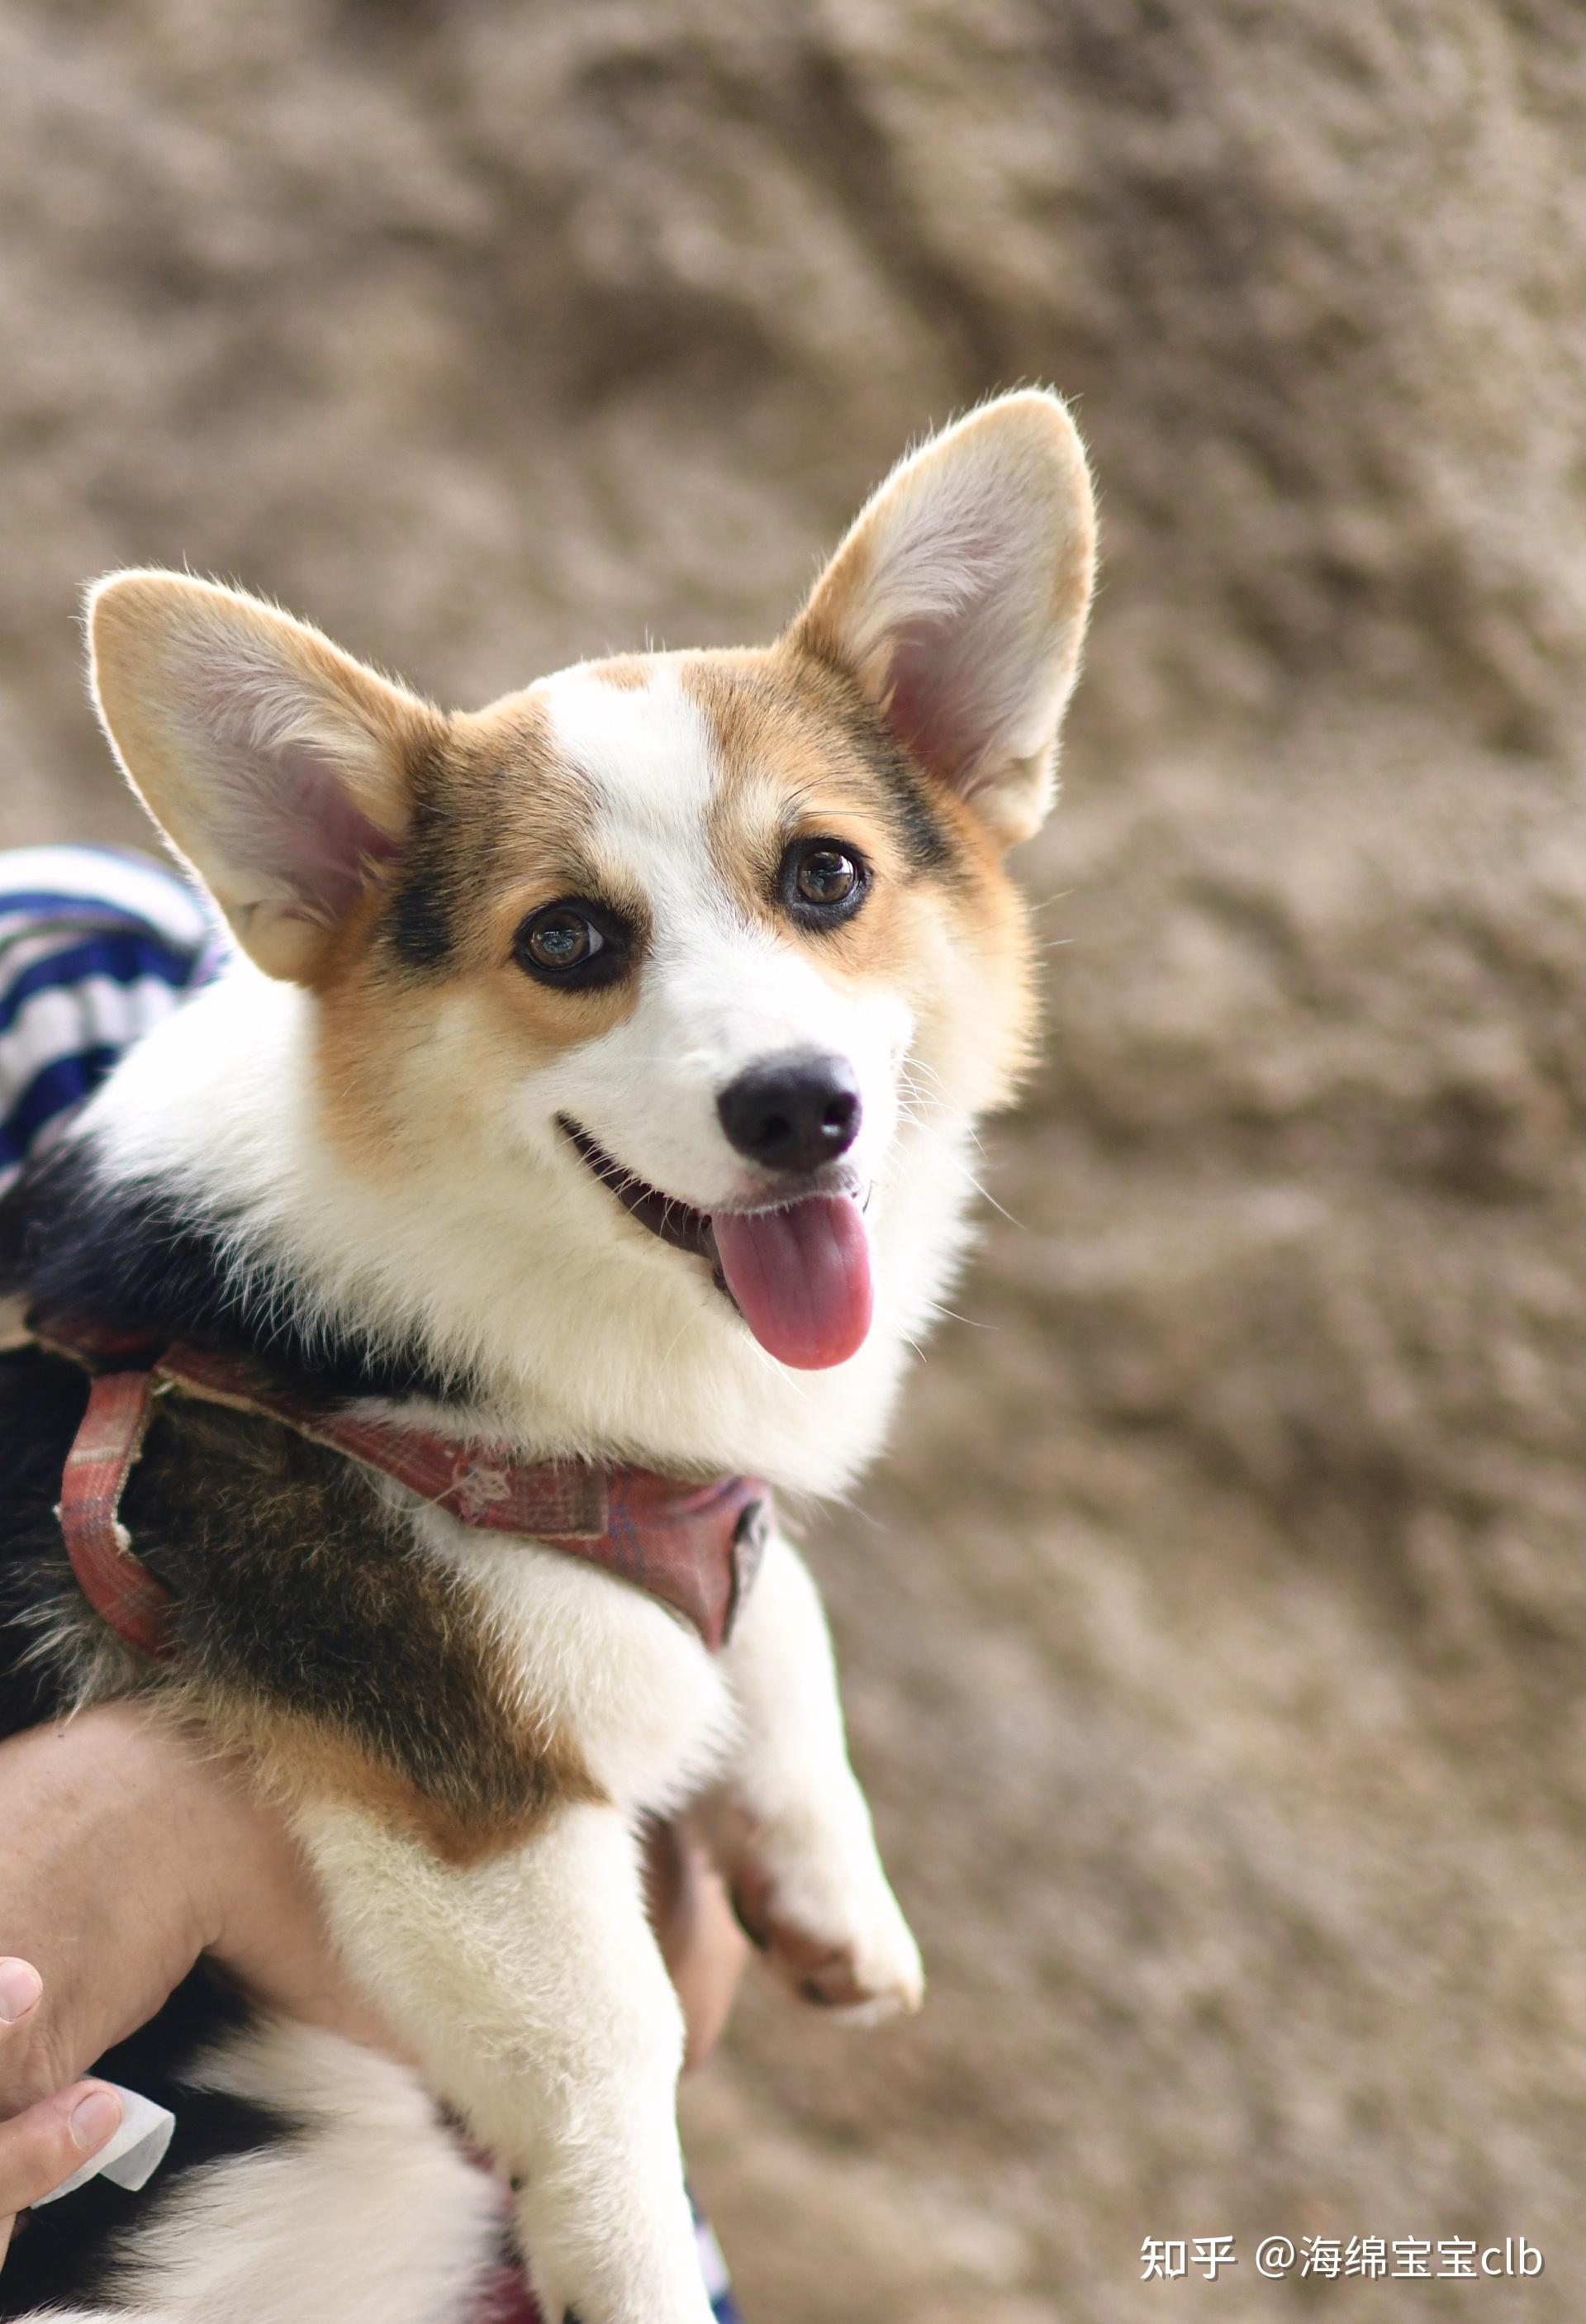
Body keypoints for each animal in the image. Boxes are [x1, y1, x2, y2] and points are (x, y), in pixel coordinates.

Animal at [0, 390, 1091, 2314]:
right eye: (567, 939)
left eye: (827, 875)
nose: (799, 1108)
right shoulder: (479, 1820)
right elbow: (610, 2057)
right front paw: (635, 2265)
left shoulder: (698, 1505)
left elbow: (774, 1593)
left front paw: (830, 1878)